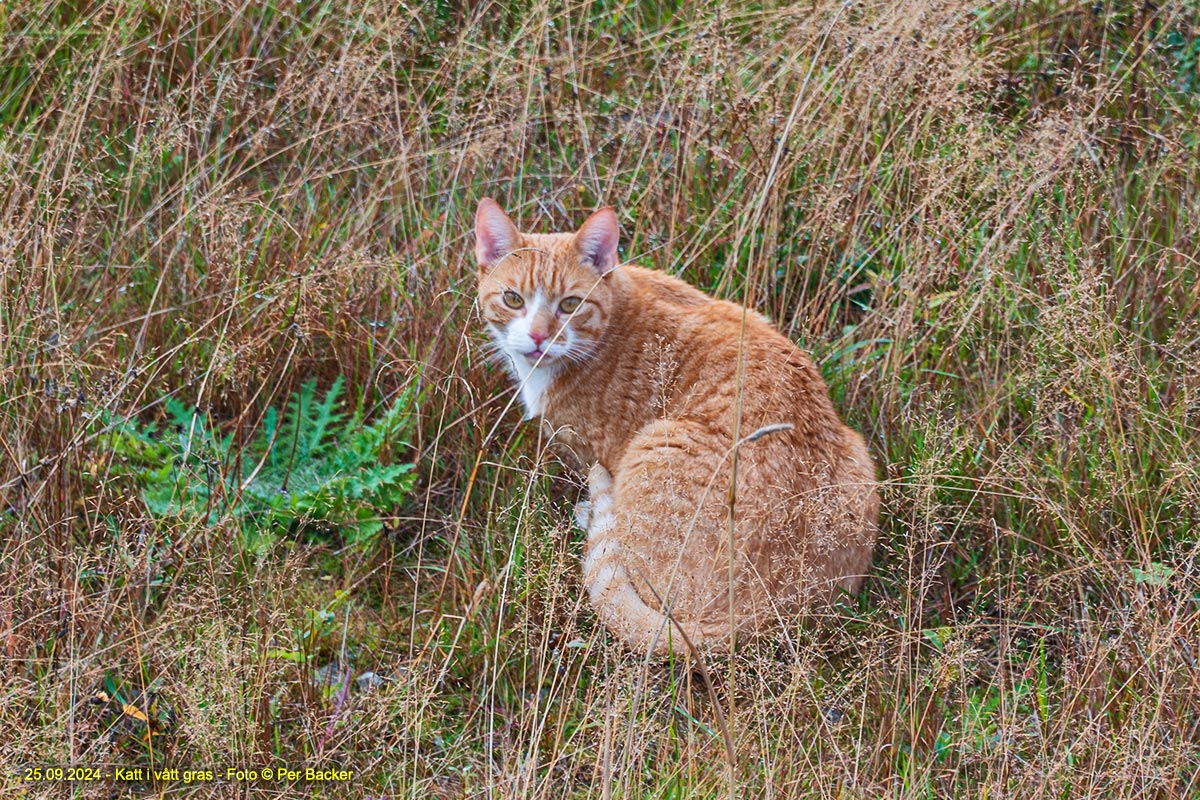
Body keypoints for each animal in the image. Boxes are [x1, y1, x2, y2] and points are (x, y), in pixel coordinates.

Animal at [472, 199, 878, 657]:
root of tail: (774, 610)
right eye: (513, 299)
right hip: (858, 452)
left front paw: (589, 511)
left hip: (654, 442)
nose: (540, 336)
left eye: (571, 304)